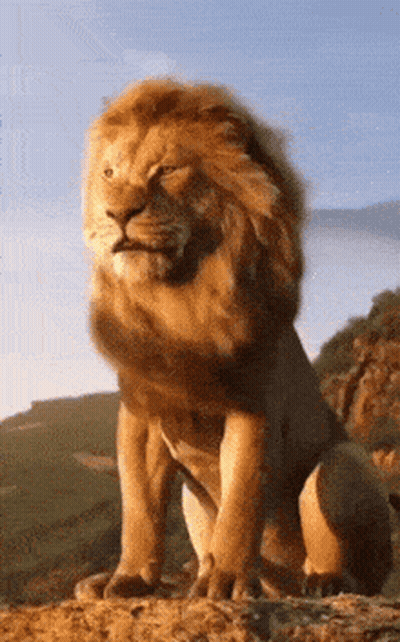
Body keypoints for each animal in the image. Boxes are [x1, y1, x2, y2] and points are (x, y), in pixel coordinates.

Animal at [76, 79, 392, 601]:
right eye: (109, 173)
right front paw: (131, 578)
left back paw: (322, 582)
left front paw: (223, 583)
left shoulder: (252, 404)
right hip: (193, 499)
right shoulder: (141, 414)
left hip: (344, 461)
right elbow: (140, 508)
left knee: (352, 568)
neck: (178, 300)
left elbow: (242, 497)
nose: (117, 212)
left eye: (167, 169)